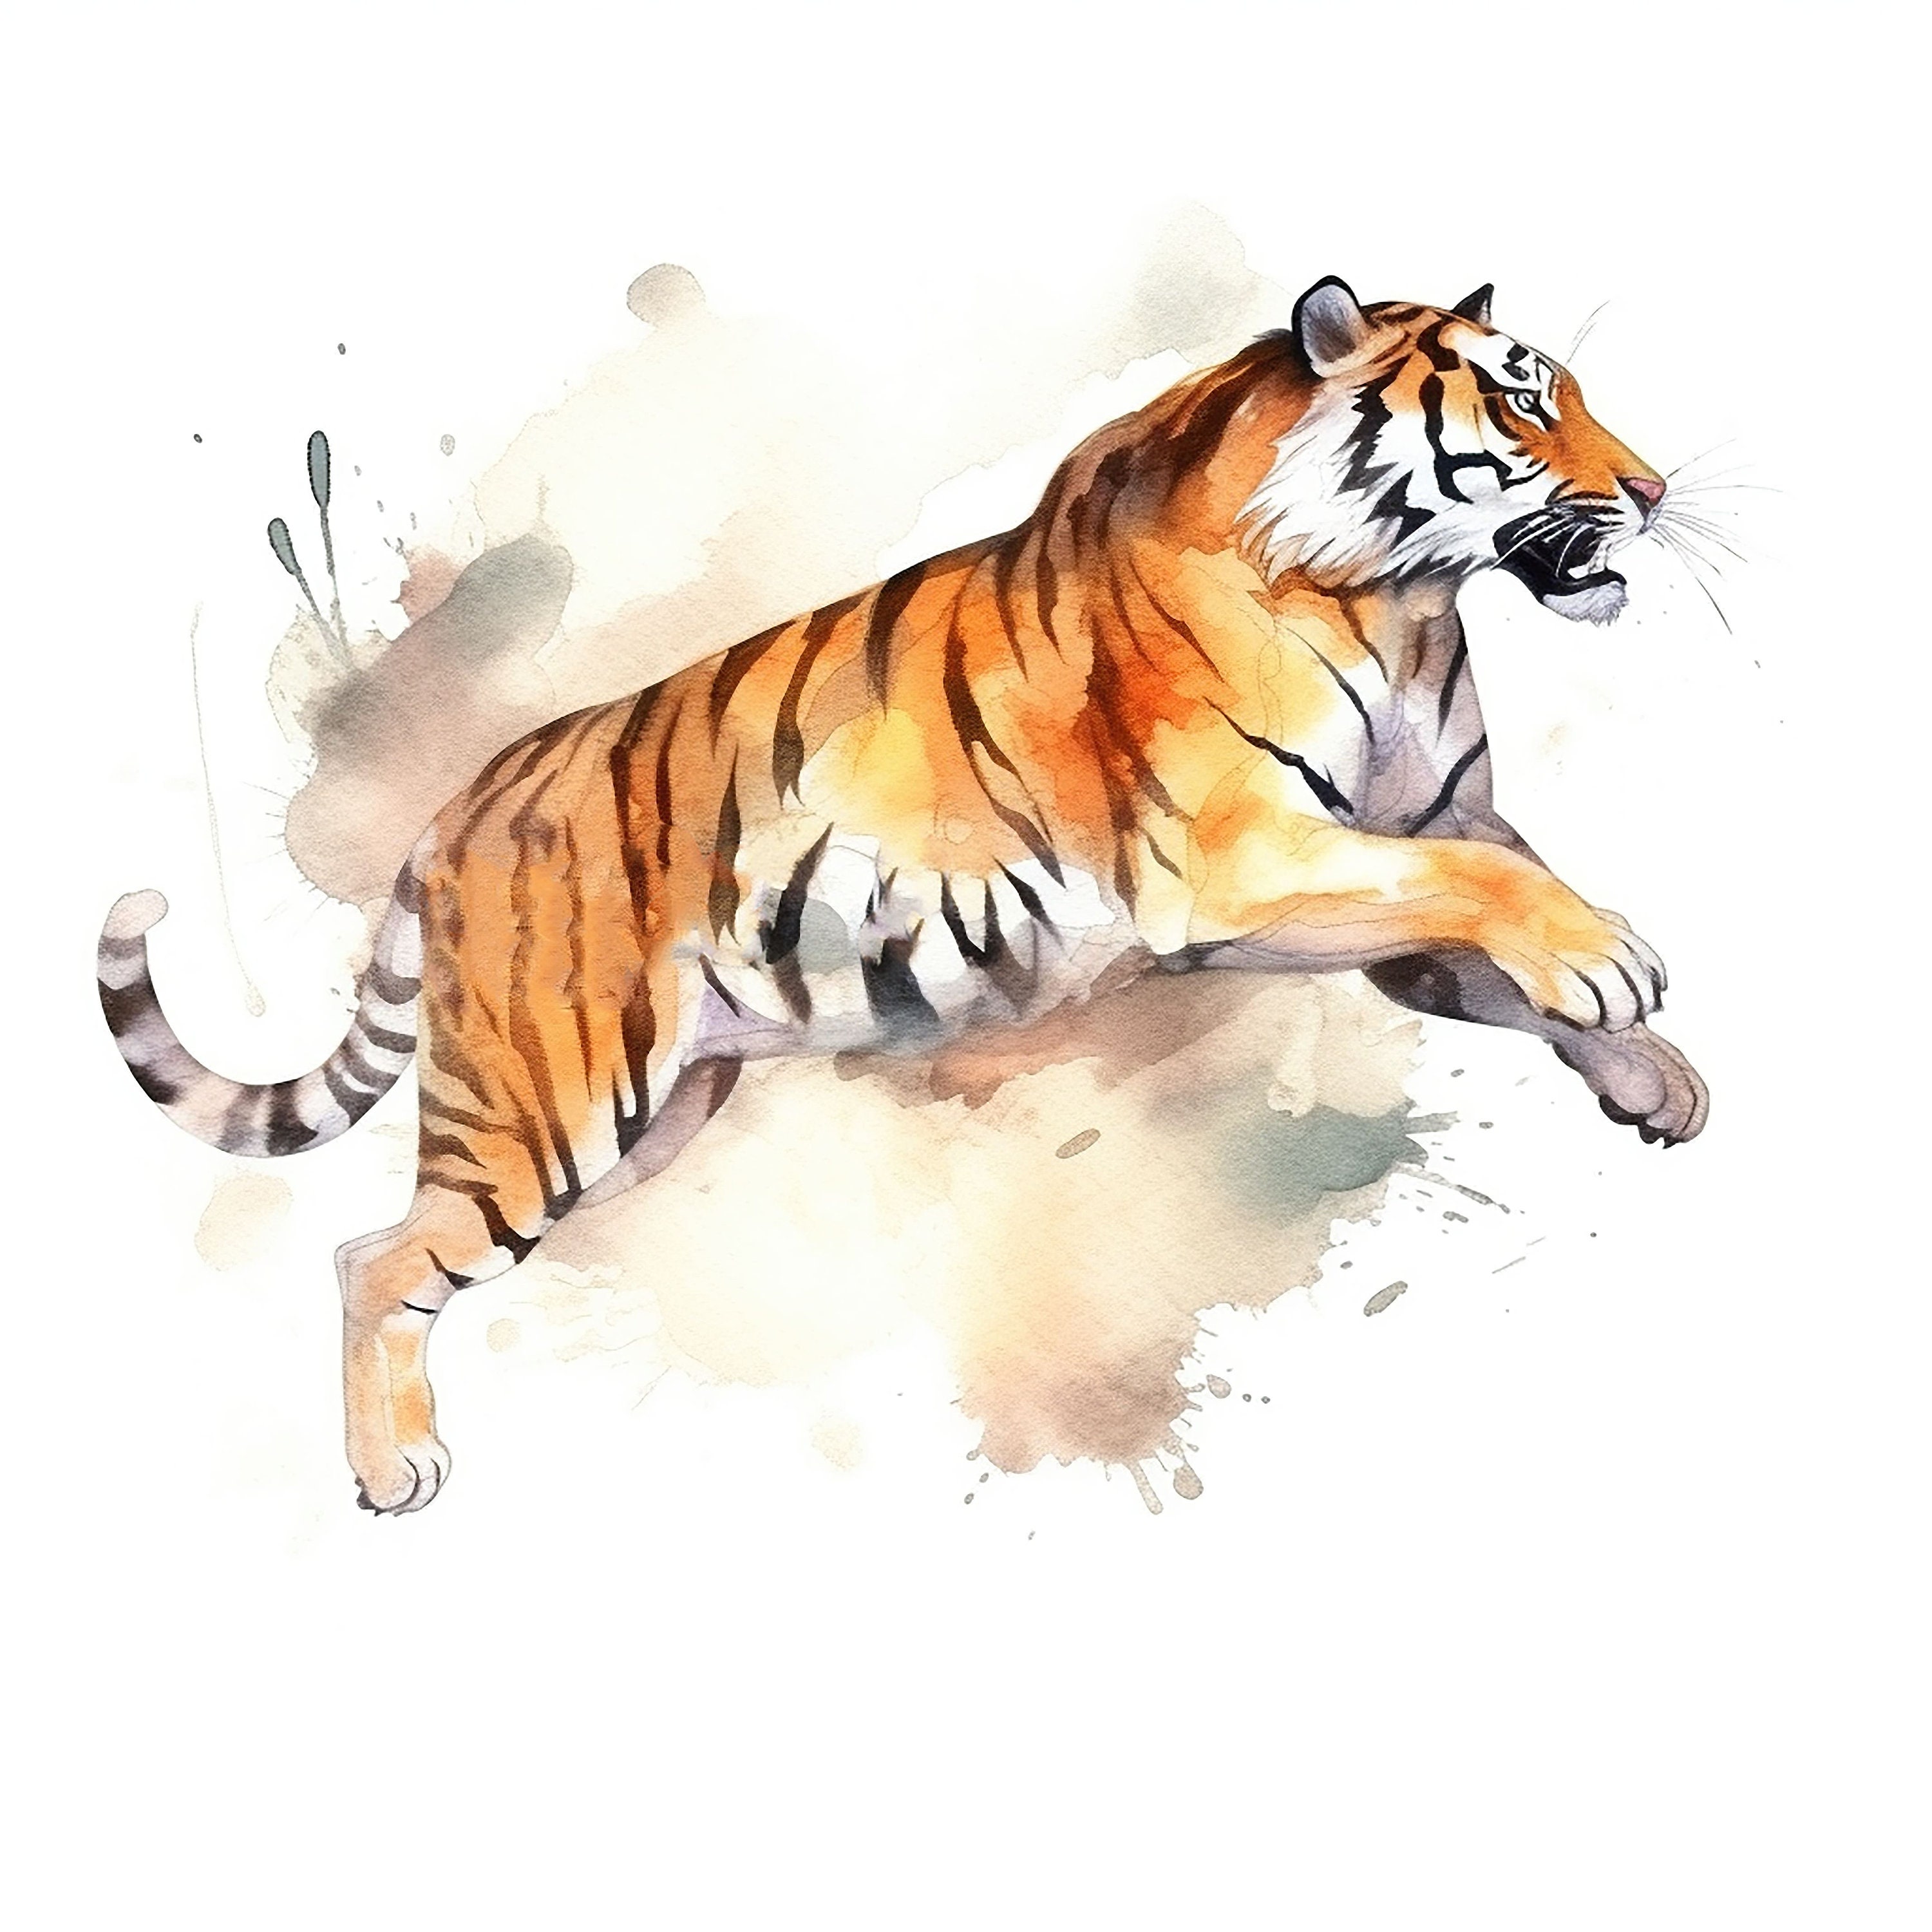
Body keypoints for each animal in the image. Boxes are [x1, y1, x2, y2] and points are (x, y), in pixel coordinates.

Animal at [99, 276, 1710, 1514]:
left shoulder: (1397, 862)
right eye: (1520, 406)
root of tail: (453, 813)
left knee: (382, 1245)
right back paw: (393, 1476)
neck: (1403, 601)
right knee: (375, 1260)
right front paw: (1618, 969)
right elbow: (1490, 880)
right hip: (544, 1108)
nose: (1653, 492)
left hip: (657, 1107)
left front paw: (1650, 1073)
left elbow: (1499, 899)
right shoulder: (1240, 859)